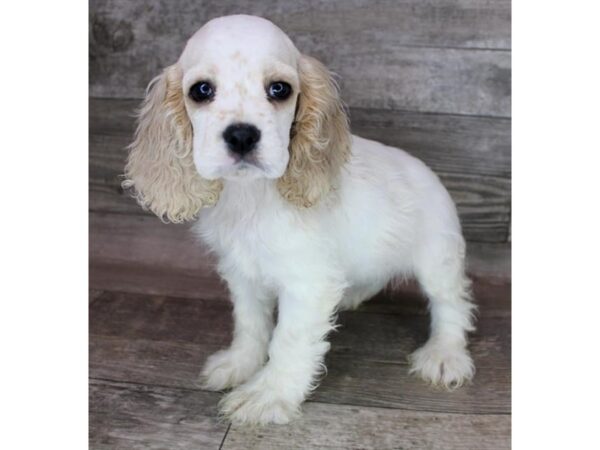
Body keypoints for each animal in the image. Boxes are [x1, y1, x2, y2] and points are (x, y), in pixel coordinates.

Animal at [124, 14, 476, 426]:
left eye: (279, 89)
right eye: (201, 91)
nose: (241, 135)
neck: (252, 196)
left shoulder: (309, 284)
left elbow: (288, 341)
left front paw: (267, 394)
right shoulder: (242, 273)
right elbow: (250, 324)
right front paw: (240, 364)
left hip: (438, 258)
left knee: (451, 304)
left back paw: (445, 354)